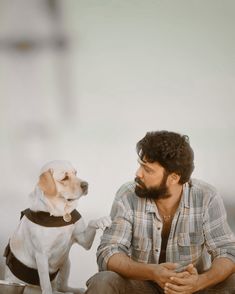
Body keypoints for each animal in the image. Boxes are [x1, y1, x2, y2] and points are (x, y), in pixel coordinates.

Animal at [4, 161, 111, 294]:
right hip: (30, 287)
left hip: (66, 262)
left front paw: (101, 220)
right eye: (64, 178)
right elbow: (46, 285)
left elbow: (91, 222)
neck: (60, 214)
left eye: (76, 173)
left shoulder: (83, 240)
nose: (86, 184)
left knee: (62, 286)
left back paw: (76, 290)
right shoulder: (41, 255)